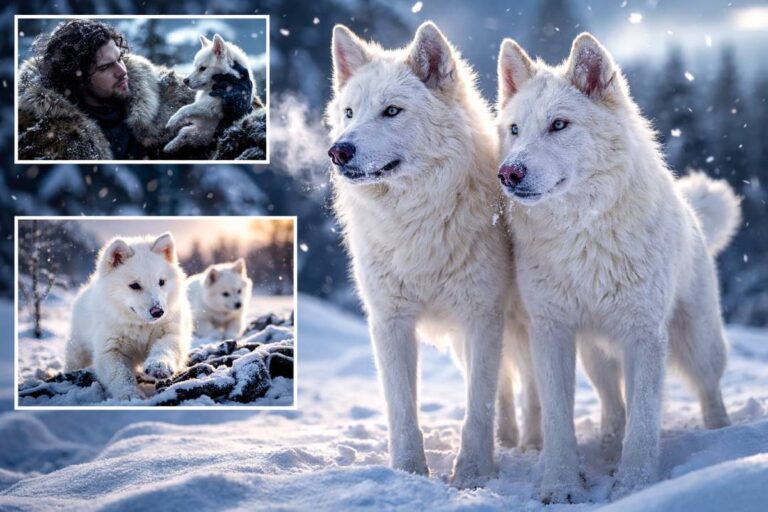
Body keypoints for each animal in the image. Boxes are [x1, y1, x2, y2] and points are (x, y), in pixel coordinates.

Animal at [65, 233, 192, 401]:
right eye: (135, 285)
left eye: (161, 282)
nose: (158, 311)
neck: (140, 325)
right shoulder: (110, 349)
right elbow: (120, 375)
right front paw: (130, 395)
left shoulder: (171, 332)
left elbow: (165, 347)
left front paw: (159, 366)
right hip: (77, 349)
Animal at [327, 22, 540, 488]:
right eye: (350, 113)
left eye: (392, 111)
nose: (338, 151)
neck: (418, 221)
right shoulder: (390, 323)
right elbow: (403, 410)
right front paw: (408, 473)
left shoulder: (482, 317)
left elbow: (477, 408)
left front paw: (473, 475)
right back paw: (508, 439)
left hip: (520, 322)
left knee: (527, 383)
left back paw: (531, 444)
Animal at [496, 33, 741, 502]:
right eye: (514, 130)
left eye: (559, 125)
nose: (508, 173)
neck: (583, 235)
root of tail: (693, 213)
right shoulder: (552, 332)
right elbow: (558, 420)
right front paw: (561, 484)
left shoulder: (644, 335)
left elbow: (643, 423)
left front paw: (634, 486)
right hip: (596, 352)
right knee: (612, 401)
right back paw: (608, 446)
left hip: (697, 343)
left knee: (709, 388)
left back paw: (721, 436)